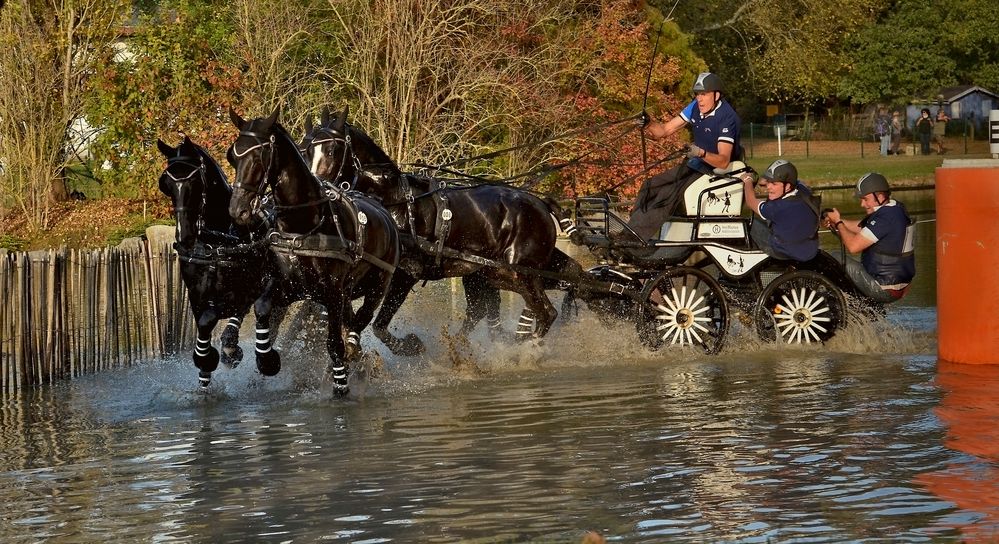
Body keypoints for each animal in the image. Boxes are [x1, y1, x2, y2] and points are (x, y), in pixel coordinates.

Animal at [156, 136, 288, 386]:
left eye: (195, 181)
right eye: (166, 185)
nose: (184, 236)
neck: (218, 242)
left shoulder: (247, 287)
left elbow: (216, 317)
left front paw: (224, 353)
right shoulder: (196, 295)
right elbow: (204, 324)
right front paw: (205, 365)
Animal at [229, 107, 400, 396]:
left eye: (259, 156)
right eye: (232, 156)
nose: (237, 210)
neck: (304, 225)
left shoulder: (331, 292)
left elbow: (333, 343)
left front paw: (340, 384)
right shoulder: (289, 286)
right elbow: (263, 308)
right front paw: (266, 360)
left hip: (379, 283)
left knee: (363, 317)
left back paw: (354, 350)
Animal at [300, 105, 580, 346]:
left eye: (332, 151)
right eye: (305, 151)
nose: (317, 191)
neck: (394, 199)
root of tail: (540, 203)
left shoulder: (405, 274)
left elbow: (379, 326)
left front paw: (410, 346)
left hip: (520, 273)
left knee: (547, 312)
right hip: (492, 273)